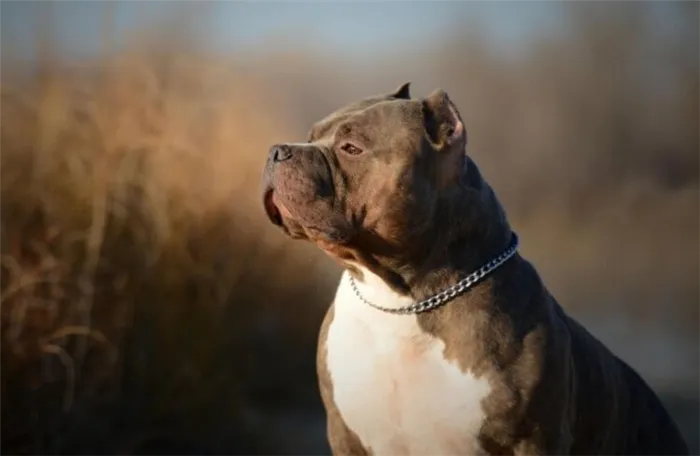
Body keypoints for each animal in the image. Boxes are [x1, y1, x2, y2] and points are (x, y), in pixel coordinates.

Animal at [258, 83, 688, 456]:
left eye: (351, 148)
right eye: (311, 135)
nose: (277, 151)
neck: (400, 296)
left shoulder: (533, 440)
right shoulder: (345, 435)